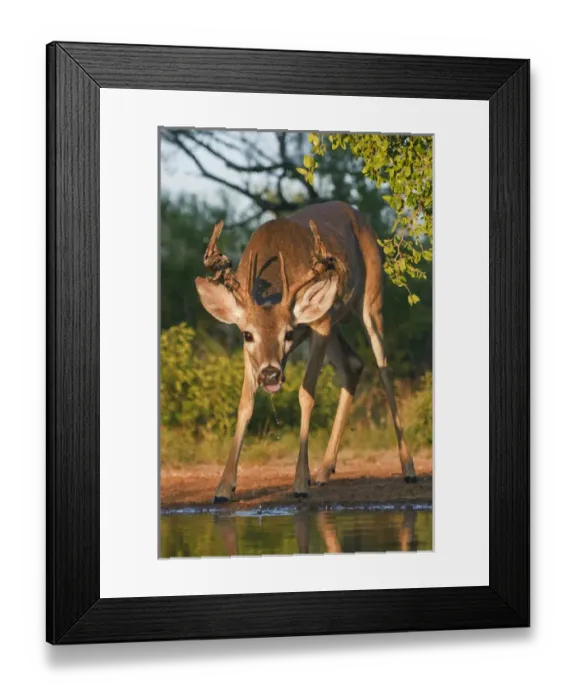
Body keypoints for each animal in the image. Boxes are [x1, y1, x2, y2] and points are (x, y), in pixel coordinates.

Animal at [195, 201, 417, 504]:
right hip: (335, 321)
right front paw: (223, 488)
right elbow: (245, 404)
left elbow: (306, 394)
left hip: (370, 299)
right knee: (353, 364)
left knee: (384, 369)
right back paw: (325, 470)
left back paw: (408, 468)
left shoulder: (318, 323)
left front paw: (300, 481)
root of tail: (356, 213)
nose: (270, 374)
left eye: (288, 333)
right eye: (247, 334)